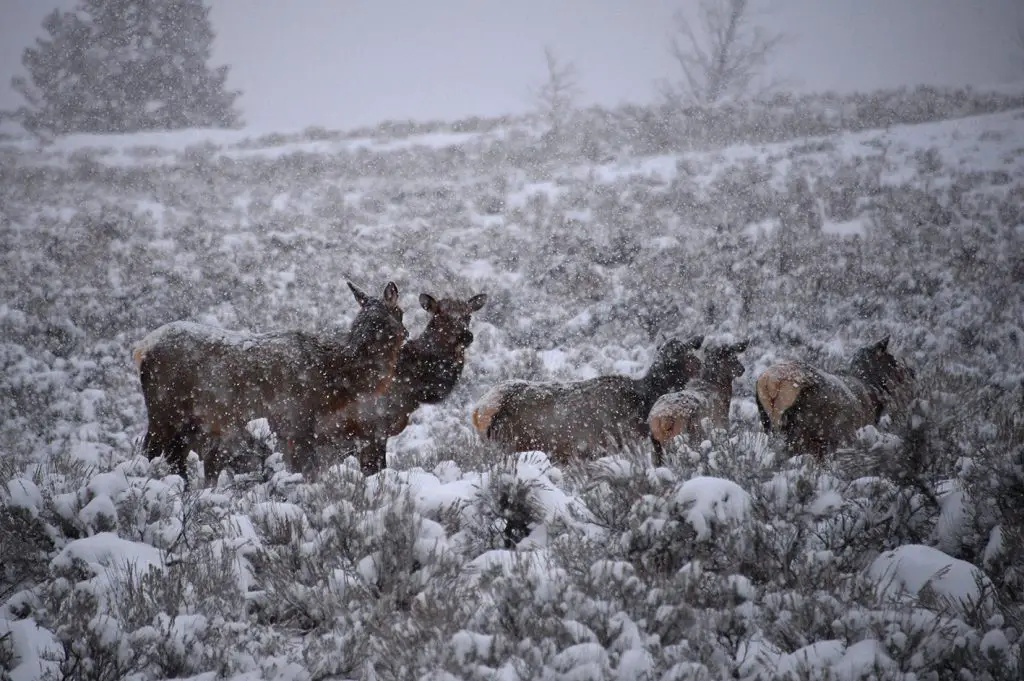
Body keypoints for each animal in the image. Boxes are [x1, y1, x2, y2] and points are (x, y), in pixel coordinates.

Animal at [134, 280, 405, 483]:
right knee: (150, 452)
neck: (333, 379)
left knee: (175, 457)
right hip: (163, 410)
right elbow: (303, 469)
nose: (407, 333)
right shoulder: (296, 418)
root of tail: (142, 348)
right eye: (401, 313)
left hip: (189, 421)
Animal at [468, 335, 704, 466]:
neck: (646, 400)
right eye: (686, 353)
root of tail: (480, 411)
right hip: (515, 445)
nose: (701, 366)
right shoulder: (624, 442)